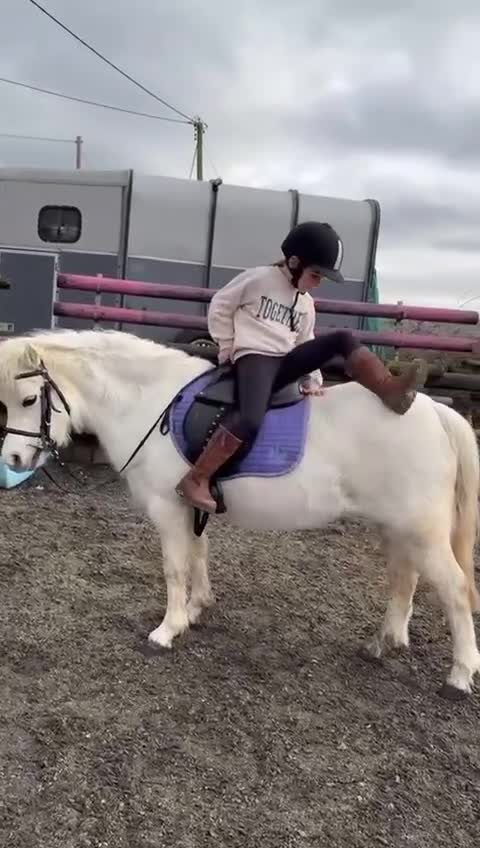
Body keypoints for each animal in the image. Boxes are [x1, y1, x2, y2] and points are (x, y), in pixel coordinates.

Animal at [0, 327, 479, 700]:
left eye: (29, 399)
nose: (15, 459)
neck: (149, 401)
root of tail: (434, 410)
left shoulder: (167, 507)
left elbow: (175, 567)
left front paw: (167, 630)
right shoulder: (192, 503)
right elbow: (198, 555)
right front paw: (196, 609)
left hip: (420, 530)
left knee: (454, 590)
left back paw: (458, 677)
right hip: (397, 526)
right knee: (405, 578)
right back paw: (382, 644)